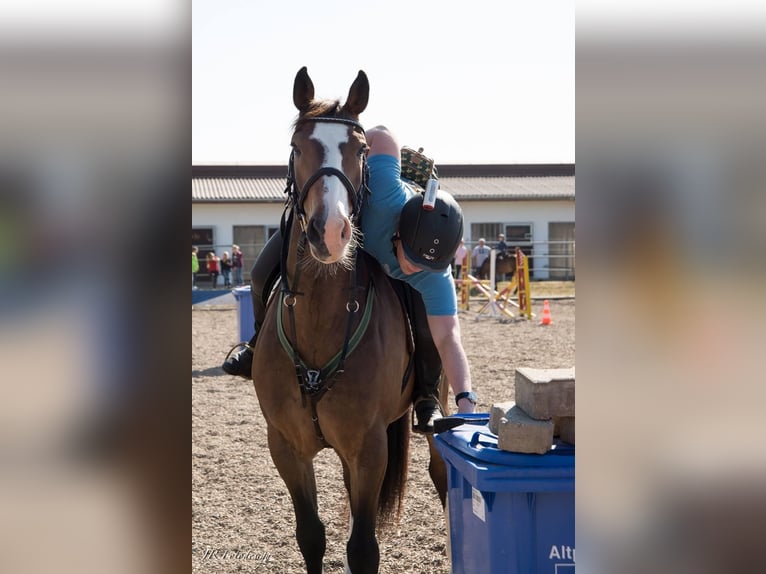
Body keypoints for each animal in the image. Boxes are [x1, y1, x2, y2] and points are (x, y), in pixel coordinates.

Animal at [252, 68, 450, 574]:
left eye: (359, 150)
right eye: (296, 147)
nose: (330, 231)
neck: (321, 322)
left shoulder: (368, 449)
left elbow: (362, 549)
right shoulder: (286, 447)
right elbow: (311, 536)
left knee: (442, 475)